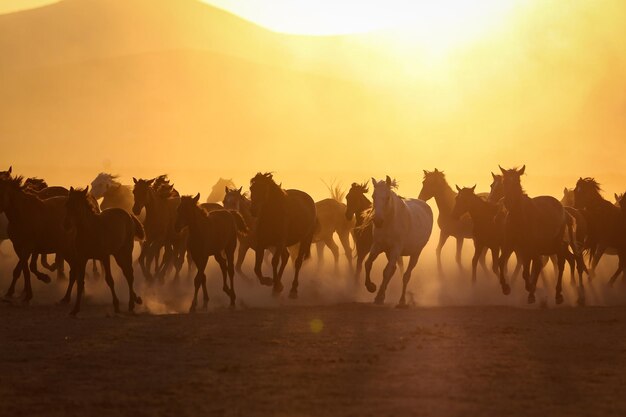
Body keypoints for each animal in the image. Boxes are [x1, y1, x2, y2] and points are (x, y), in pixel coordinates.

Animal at [364, 175, 432, 306]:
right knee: (393, 270)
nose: (378, 221)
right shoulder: (377, 246)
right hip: (388, 252)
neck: (390, 222)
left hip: (415, 253)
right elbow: (368, 263)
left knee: (405, 276)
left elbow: (386, 272)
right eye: (373, 196)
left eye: (387, 197)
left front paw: (377, 295)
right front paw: (371, 287)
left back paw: (402, 301)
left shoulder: (396, 249)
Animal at [494, 164, 584, 304]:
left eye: (517, 182)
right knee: (565, 260)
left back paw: (559, 294)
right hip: (550, 246)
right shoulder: (511, 245)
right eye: (504, 182)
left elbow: (528, 270)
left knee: (561, 263)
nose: (507, 201)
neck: (519, 218)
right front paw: (506, 288)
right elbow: (502, 262)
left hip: (555, 244)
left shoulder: (529, 248)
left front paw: (530, 289)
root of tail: (565, 211)